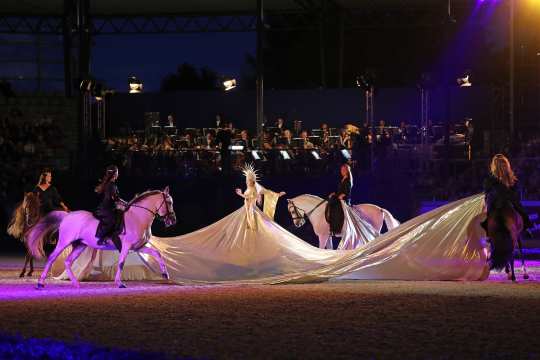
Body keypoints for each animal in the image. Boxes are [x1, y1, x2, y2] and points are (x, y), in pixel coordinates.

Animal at [28, 187, 176, 288]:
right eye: (169, 202)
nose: (172, 220)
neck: (137, 217)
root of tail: (67, 216)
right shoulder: (126, 246)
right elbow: (121, 263)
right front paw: (119, 283)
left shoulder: (138, 247)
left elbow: (157, 253)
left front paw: (165, 274)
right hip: (64, 242)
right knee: (52, 257)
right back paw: (40, 283)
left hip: (80, 245)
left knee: (68, 261)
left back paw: (76, 284)